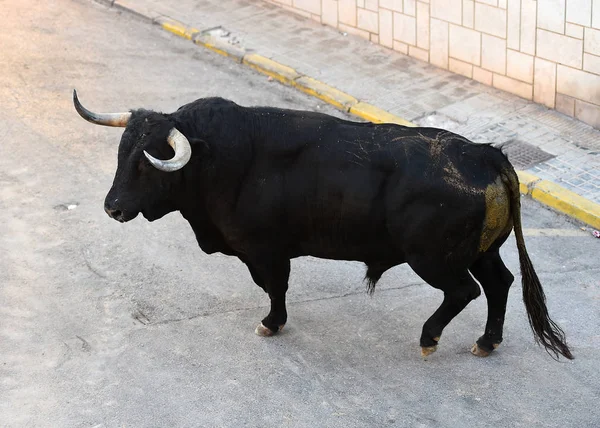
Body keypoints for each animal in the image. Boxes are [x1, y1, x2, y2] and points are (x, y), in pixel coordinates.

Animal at [74, 92, 572, 360]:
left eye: (148, 164)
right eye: (122, 153)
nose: (112, 208)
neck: (219, 158)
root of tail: (485, 153)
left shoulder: (266, 250)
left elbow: (275, 288)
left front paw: (272, 323)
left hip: (434, 258)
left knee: (464, 291)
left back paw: (429, 338)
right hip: (481, 250)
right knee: (500, 283)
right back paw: (487, 342)